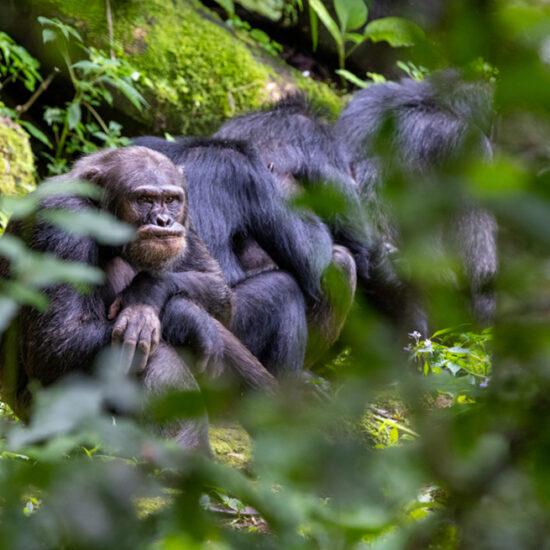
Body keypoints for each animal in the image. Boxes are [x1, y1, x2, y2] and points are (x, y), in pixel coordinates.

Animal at [0, 147, 276, 452]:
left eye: (170, 200)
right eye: (143, 200)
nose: (163, 220)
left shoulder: (187, 220)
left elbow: (218, 288)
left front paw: (150, 291)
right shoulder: (62, 220)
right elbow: (55, 341)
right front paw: (183, 317)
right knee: (151, 351)